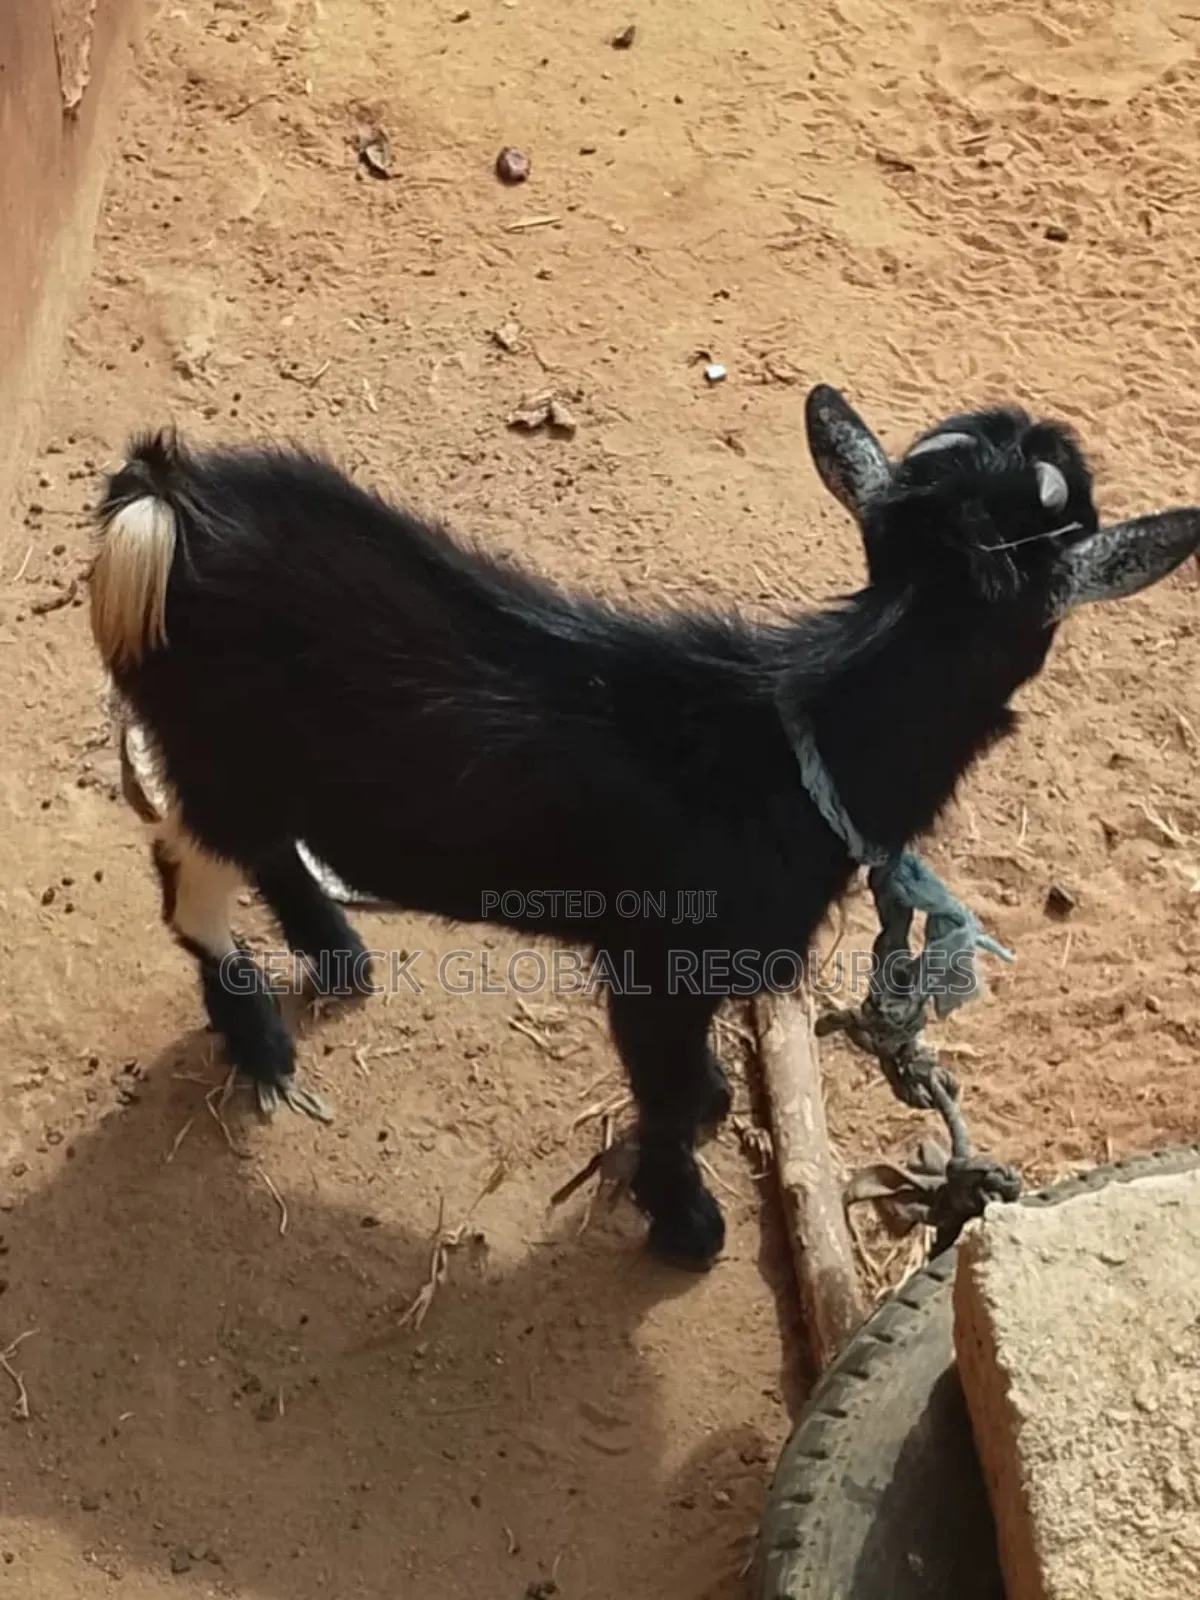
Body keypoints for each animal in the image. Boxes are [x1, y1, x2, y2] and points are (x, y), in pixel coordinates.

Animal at [87, 386, 1200, 1270]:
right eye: (1074, 517)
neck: (803, 735)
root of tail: (167, 498)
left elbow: (691, 1084)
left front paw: (706, 1118)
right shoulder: (655, 963)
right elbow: (662, 1097)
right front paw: (686, 1221)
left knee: (266, 849)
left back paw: (338, 953)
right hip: (217, 757)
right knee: (186, 870)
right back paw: (259, 1036)